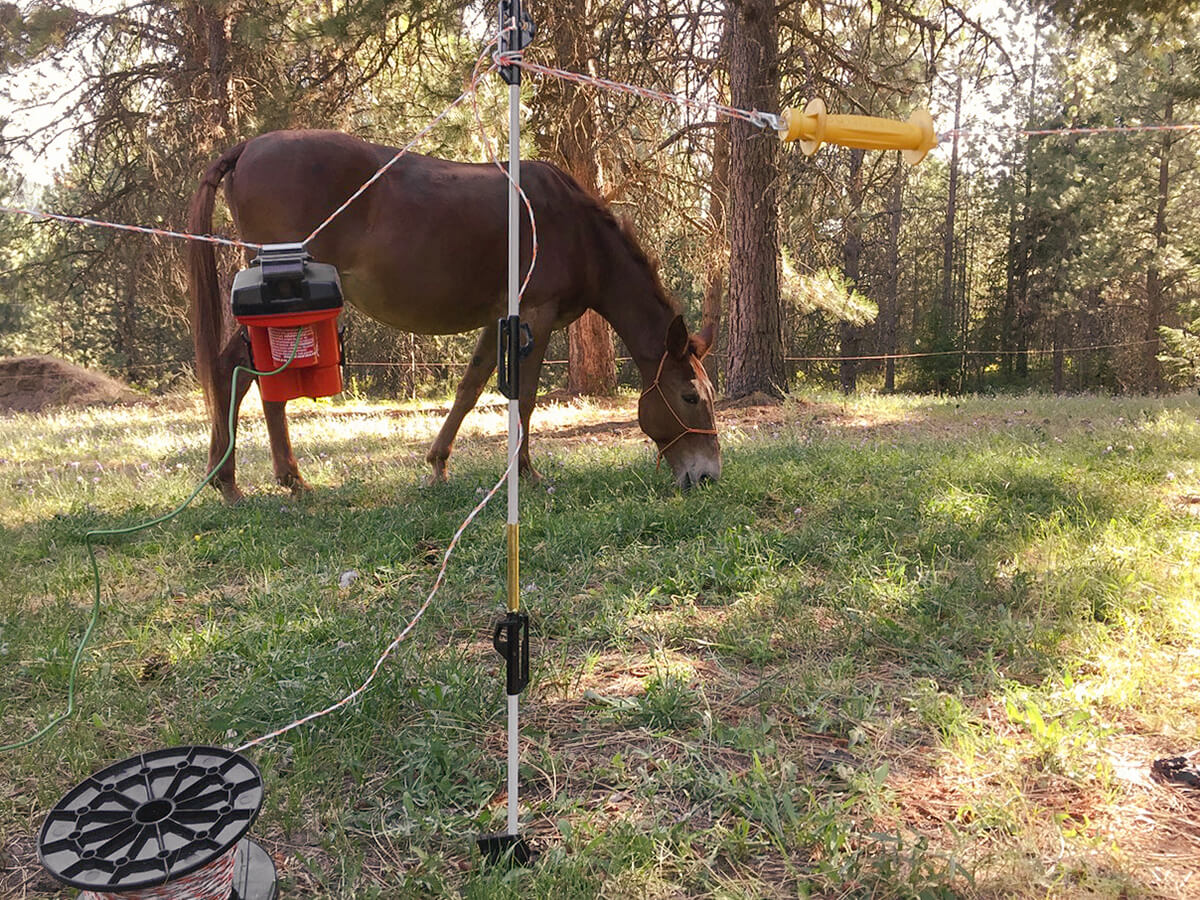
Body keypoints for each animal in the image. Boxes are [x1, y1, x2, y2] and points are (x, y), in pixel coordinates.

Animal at [182, 130, 715, 504]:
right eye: (689, 397)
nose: (707, 476)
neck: (580, 232)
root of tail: (249, 147)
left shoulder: (501, 319)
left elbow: (470, 387)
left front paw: (438, 464)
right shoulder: (536, 314)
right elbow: (525, 399)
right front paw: (525, 472)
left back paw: (267, 478)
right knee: (239, 370)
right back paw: (248, 481)